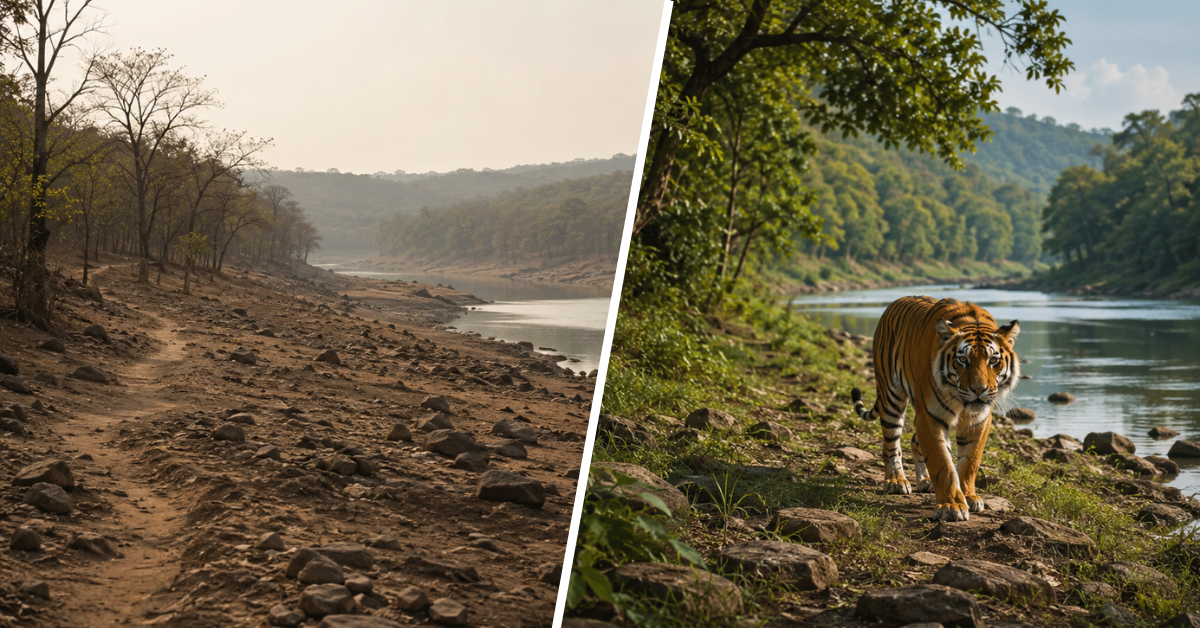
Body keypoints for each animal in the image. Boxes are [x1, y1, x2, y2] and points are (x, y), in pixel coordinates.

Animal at [850, 296, 1020, 522]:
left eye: (993, 360)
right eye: (962, 360)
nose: (978, 389)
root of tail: (896, 301)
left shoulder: (979, 421)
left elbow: (969, 463)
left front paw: (968, 496)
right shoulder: (930, 417)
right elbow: (943, 464)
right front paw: (952, 506)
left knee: (914, 440)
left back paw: (925, 481)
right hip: (891, 397)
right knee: (891, 445)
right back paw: (896, 481)